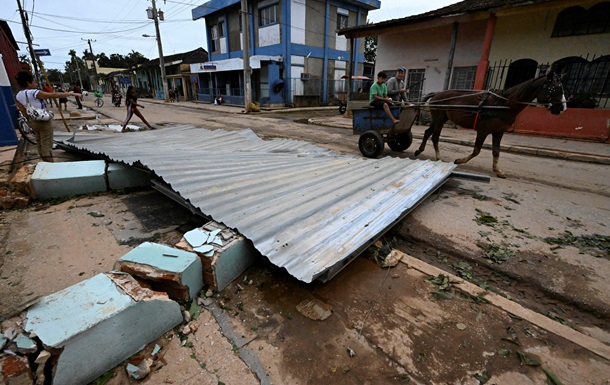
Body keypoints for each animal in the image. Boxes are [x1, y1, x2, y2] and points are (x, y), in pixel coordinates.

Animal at [414, 69, 564, 177]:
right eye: (554, 89)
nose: (563, 107)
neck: (503, 104)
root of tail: (436, 94)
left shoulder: (498, 132)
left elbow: (496, 151)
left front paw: (498, 170)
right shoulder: (483, 130)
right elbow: (476, 151)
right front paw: (460, 160)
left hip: (440, 118)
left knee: (428, 132)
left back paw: (419, 150)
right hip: (439, 118)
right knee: (435, 136)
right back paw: (438, 156)